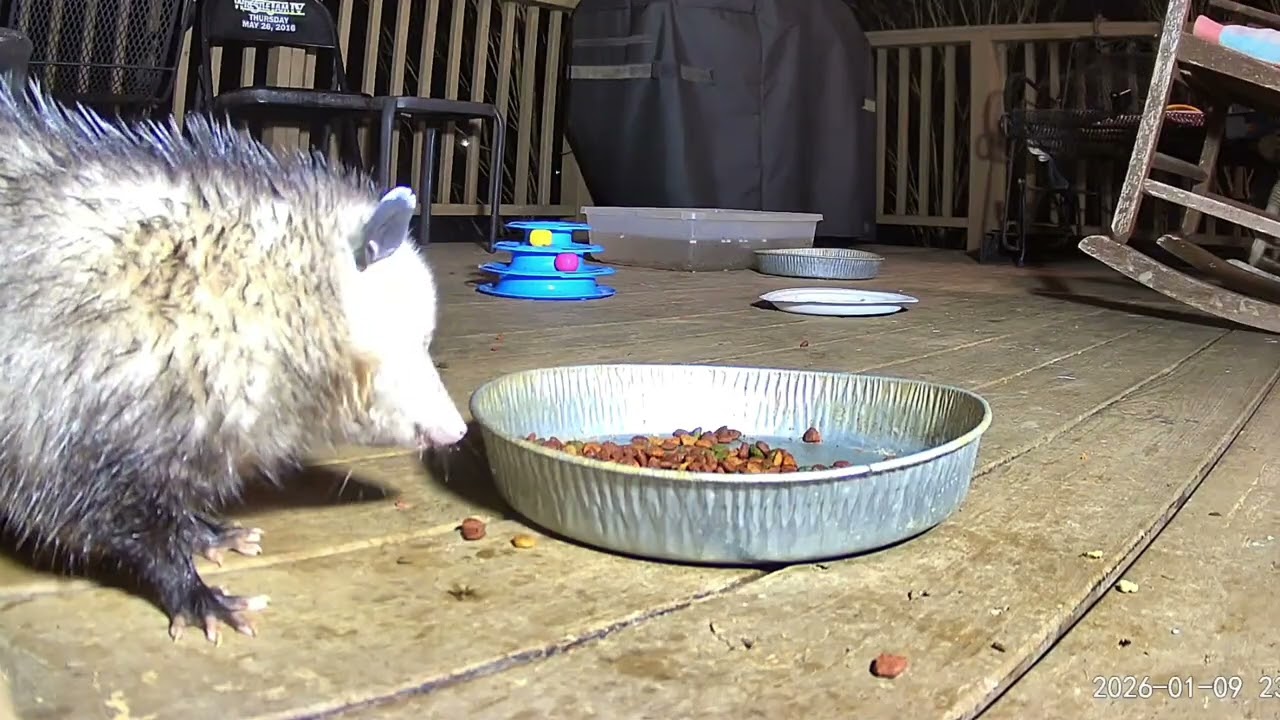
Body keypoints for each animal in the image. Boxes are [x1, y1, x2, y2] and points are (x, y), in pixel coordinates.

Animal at [0, 81, 468, 643]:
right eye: (420, 339)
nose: (459, 431)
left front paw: (206, 533)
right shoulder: (72, 400)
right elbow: (82, 509)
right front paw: (196, 593)